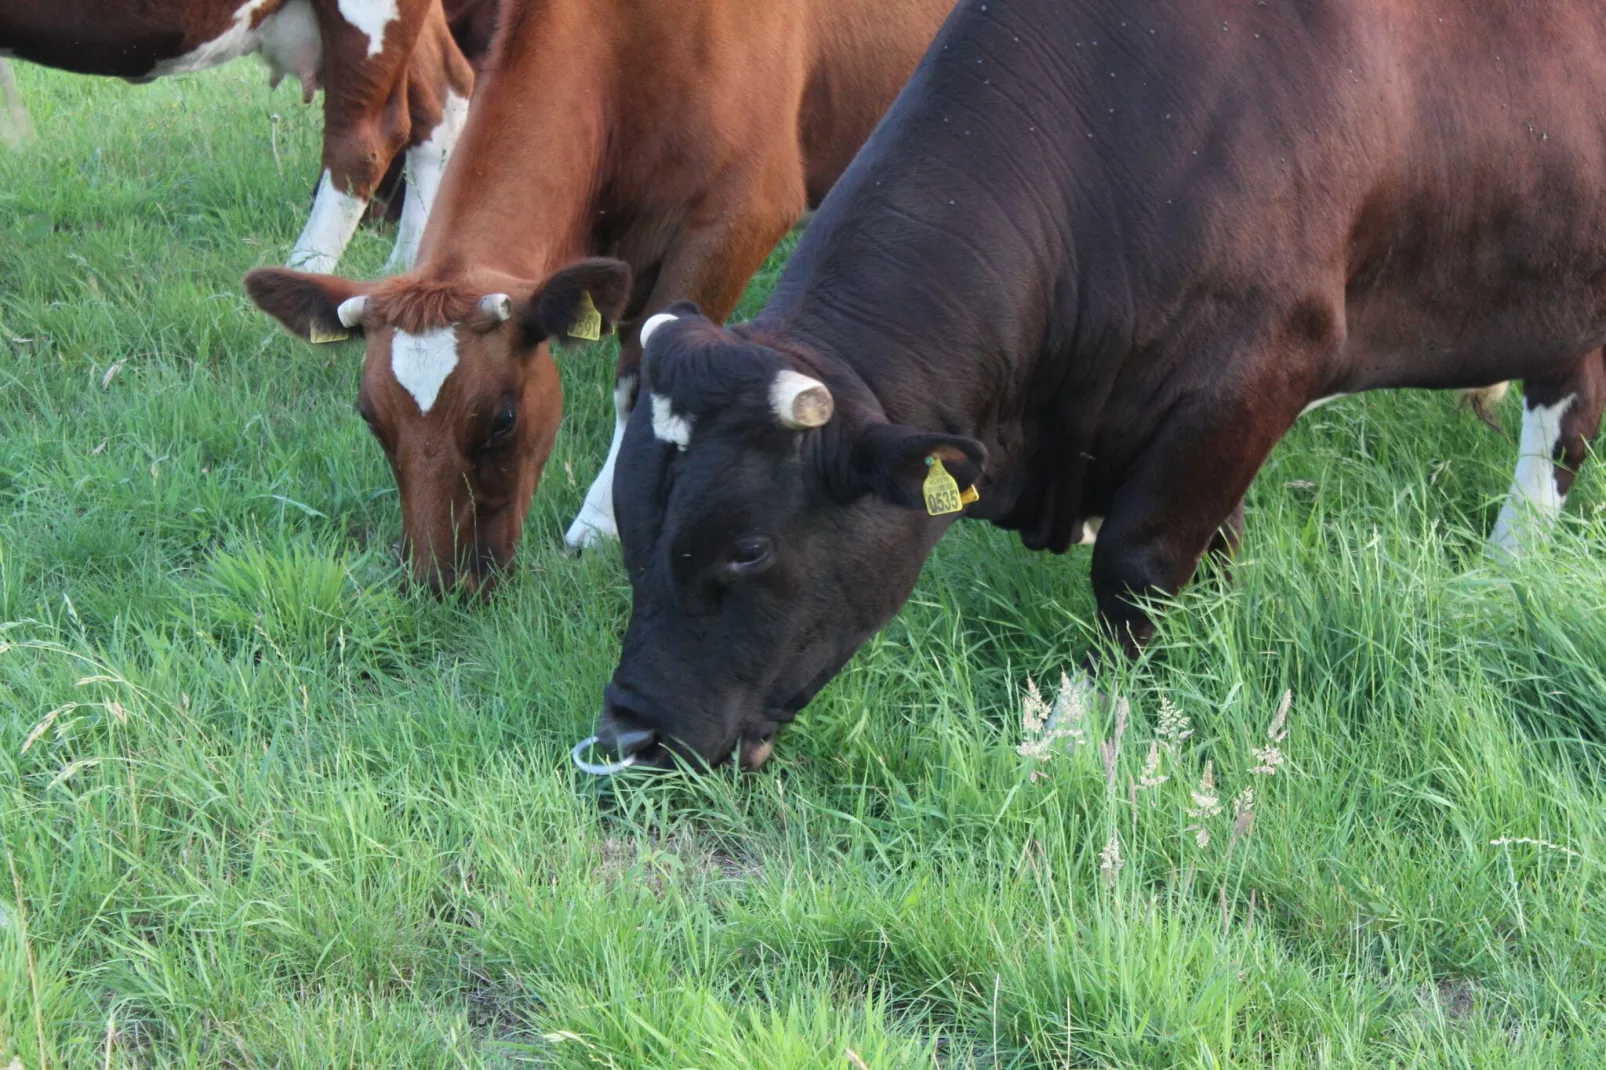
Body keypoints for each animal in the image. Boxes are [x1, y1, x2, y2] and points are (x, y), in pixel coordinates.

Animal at [237, 0, 950, 591]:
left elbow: (646, 379)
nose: (441, 581)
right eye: (369, 416)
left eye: (503, 419)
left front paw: (604, 522)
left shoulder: (737, 218)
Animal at [591, 0, 1606, 771]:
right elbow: (1214, 551)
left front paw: (1102, 718)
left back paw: (1507, 567)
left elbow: (1136, 569)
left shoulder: (1254, 373)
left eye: (749, 549)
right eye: (633, 529)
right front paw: (1211, 647)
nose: (627, 734)